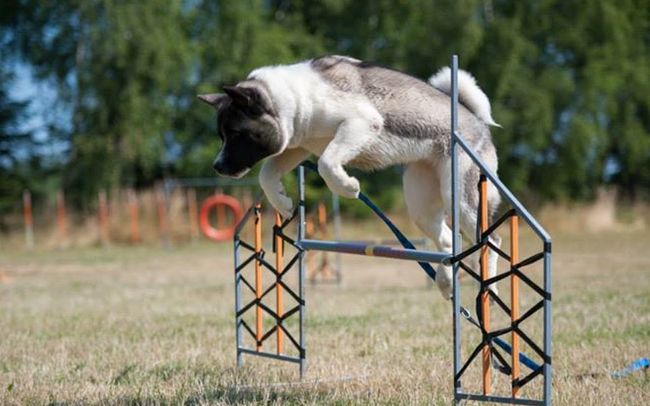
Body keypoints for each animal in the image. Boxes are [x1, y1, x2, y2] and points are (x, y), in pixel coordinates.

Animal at [198, 55, 502, 299]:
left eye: (236, 133)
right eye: (221, 135)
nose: (217, 166)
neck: (295, 99)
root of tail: (475, 120)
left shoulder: (361, 123)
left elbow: (326, 163)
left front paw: (348, 187)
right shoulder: (297, 148)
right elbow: (266, 173)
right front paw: (282, 203)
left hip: (459, 196)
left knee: (490, 241)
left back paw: (488, 286)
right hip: (422, 205)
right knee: (449, 240)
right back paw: (446, 282)